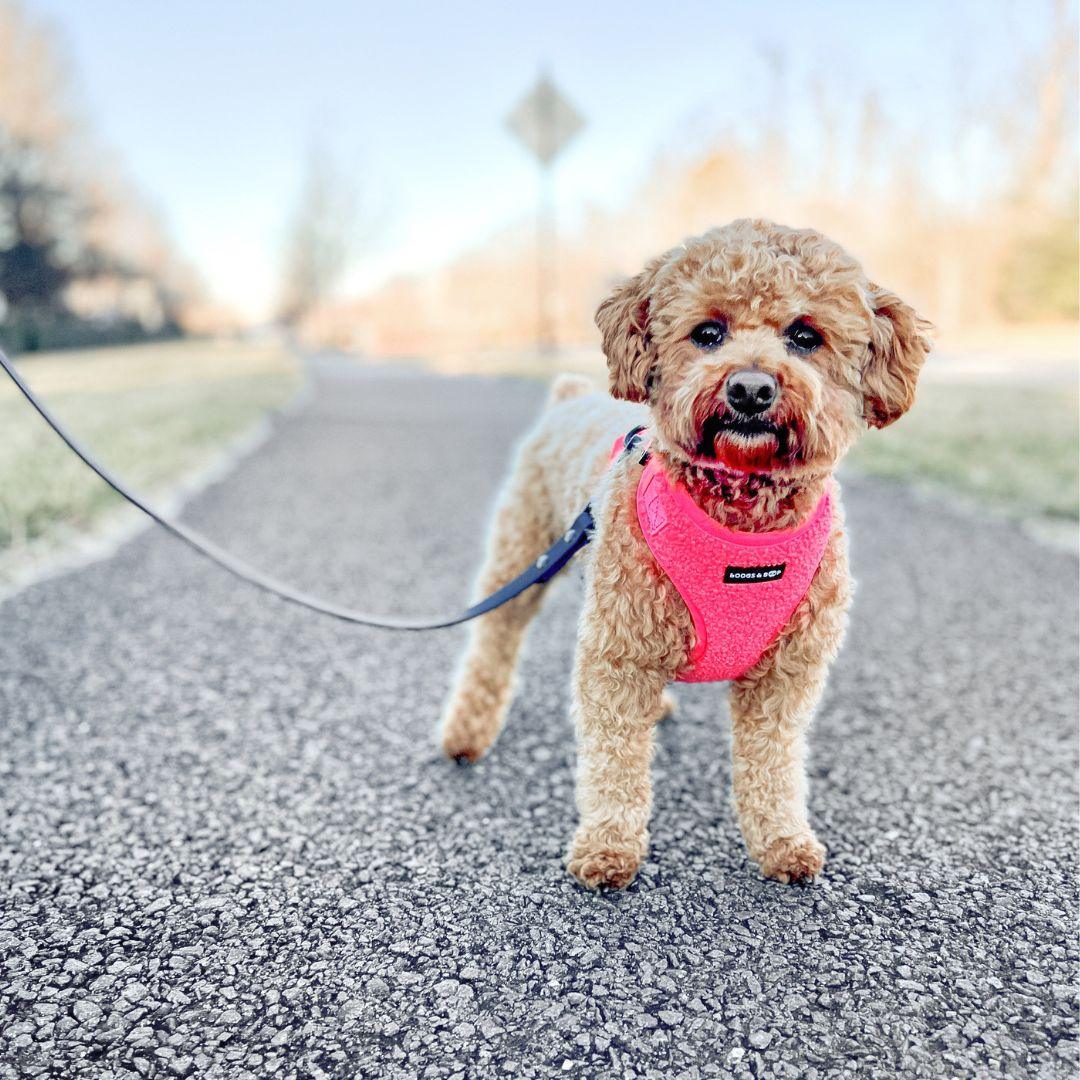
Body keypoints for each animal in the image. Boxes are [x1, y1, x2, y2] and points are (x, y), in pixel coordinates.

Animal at [434, 217, 933, 885]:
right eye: (708, 333)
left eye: (805, 336)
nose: (750, 387)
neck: (742, 522)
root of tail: (569, 393)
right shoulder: (619, 654)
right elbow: (615, 760)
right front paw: (608, 846)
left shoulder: (786, 674)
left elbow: (773, 764)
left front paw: (782, 841)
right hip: (525, 554)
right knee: (494, 641)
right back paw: (466, 735)